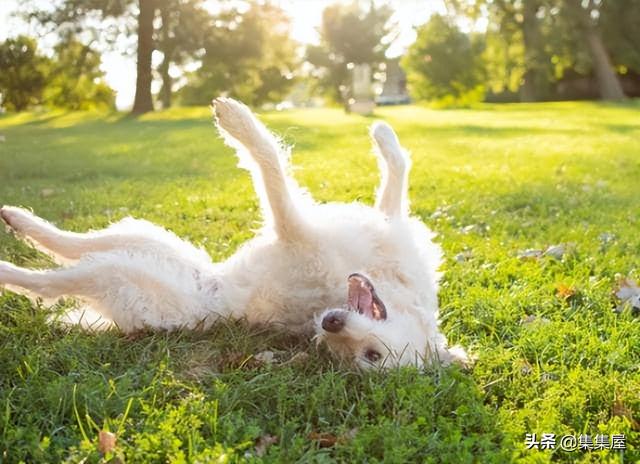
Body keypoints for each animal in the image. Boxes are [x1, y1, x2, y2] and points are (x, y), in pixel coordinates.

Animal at [0, 99, 470, 370]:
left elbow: (271, 166)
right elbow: (395, 178)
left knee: (49, 280)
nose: (331, 324)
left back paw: (11, 260)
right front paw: (383, 133)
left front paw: (237, 121)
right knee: (74, 243)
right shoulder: (382, 226)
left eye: (369, 356)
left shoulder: (294, 229)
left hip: (120, 273)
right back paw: (19, 219)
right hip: (143, 238)